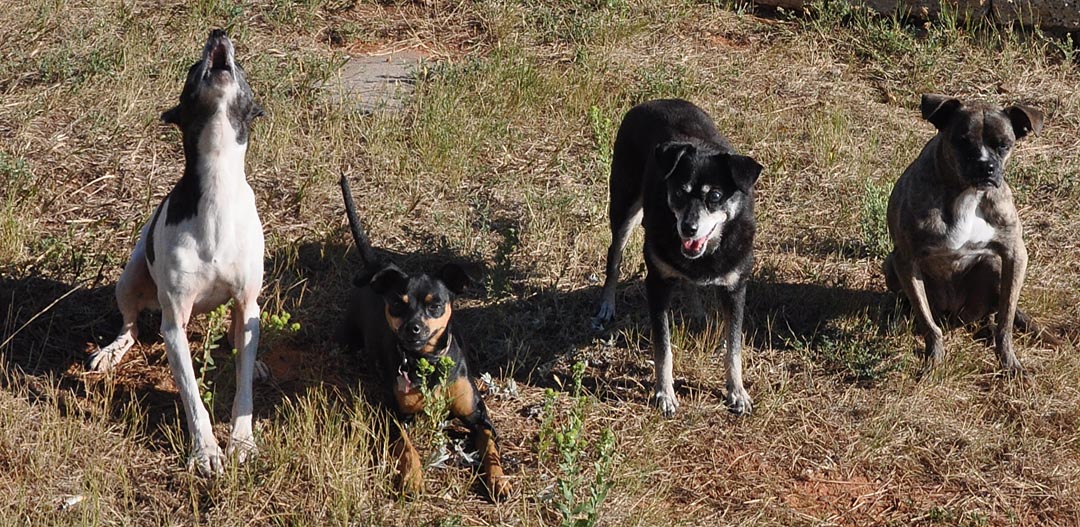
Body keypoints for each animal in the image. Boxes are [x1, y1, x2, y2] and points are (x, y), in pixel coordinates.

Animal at [88, 30, 265, 475]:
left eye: (242, 66)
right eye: (191, 69)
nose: (219, 32)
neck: (218, 182)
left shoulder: (248, 301)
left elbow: (242, 390)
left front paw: (242, 442)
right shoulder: (174, 323)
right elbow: (190, 394)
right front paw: (205, 451)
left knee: (240, 338)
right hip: (130, 278)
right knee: (131, 328)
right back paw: (111, 351)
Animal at [338, 175, 511, 500]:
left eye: (435, 305)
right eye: (397, 303)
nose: (413, 328)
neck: (429, 363)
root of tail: (376, 267)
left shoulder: (479, 416)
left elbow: (491, 447)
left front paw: (498, 479)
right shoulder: (395, 417)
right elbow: (408, 448)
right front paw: (412, 478)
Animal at [593, 99, 763, 417]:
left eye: (716, 196)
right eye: (679, 192)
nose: (688, 228)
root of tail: (650, 102)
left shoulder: (736, 288)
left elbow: (734, 348)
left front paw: (737, 392)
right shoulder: (657, 283)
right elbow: (663, 348)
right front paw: (664, 394)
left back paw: (697, 313)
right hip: (624, 204)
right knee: (614, 258)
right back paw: (607, 305)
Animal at [884, 94, 1045, 375]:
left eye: (1004, 145)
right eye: (962, 140)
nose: (985, 166)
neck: (967, 194)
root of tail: (954, 312)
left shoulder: (1015, 255)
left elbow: (1006, 319)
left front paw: (1009, 363)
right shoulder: (906, 260)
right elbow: (927, 322)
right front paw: (933, 360)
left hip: (993, 266)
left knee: (991, 314)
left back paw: (987, 329)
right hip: (890, 265)